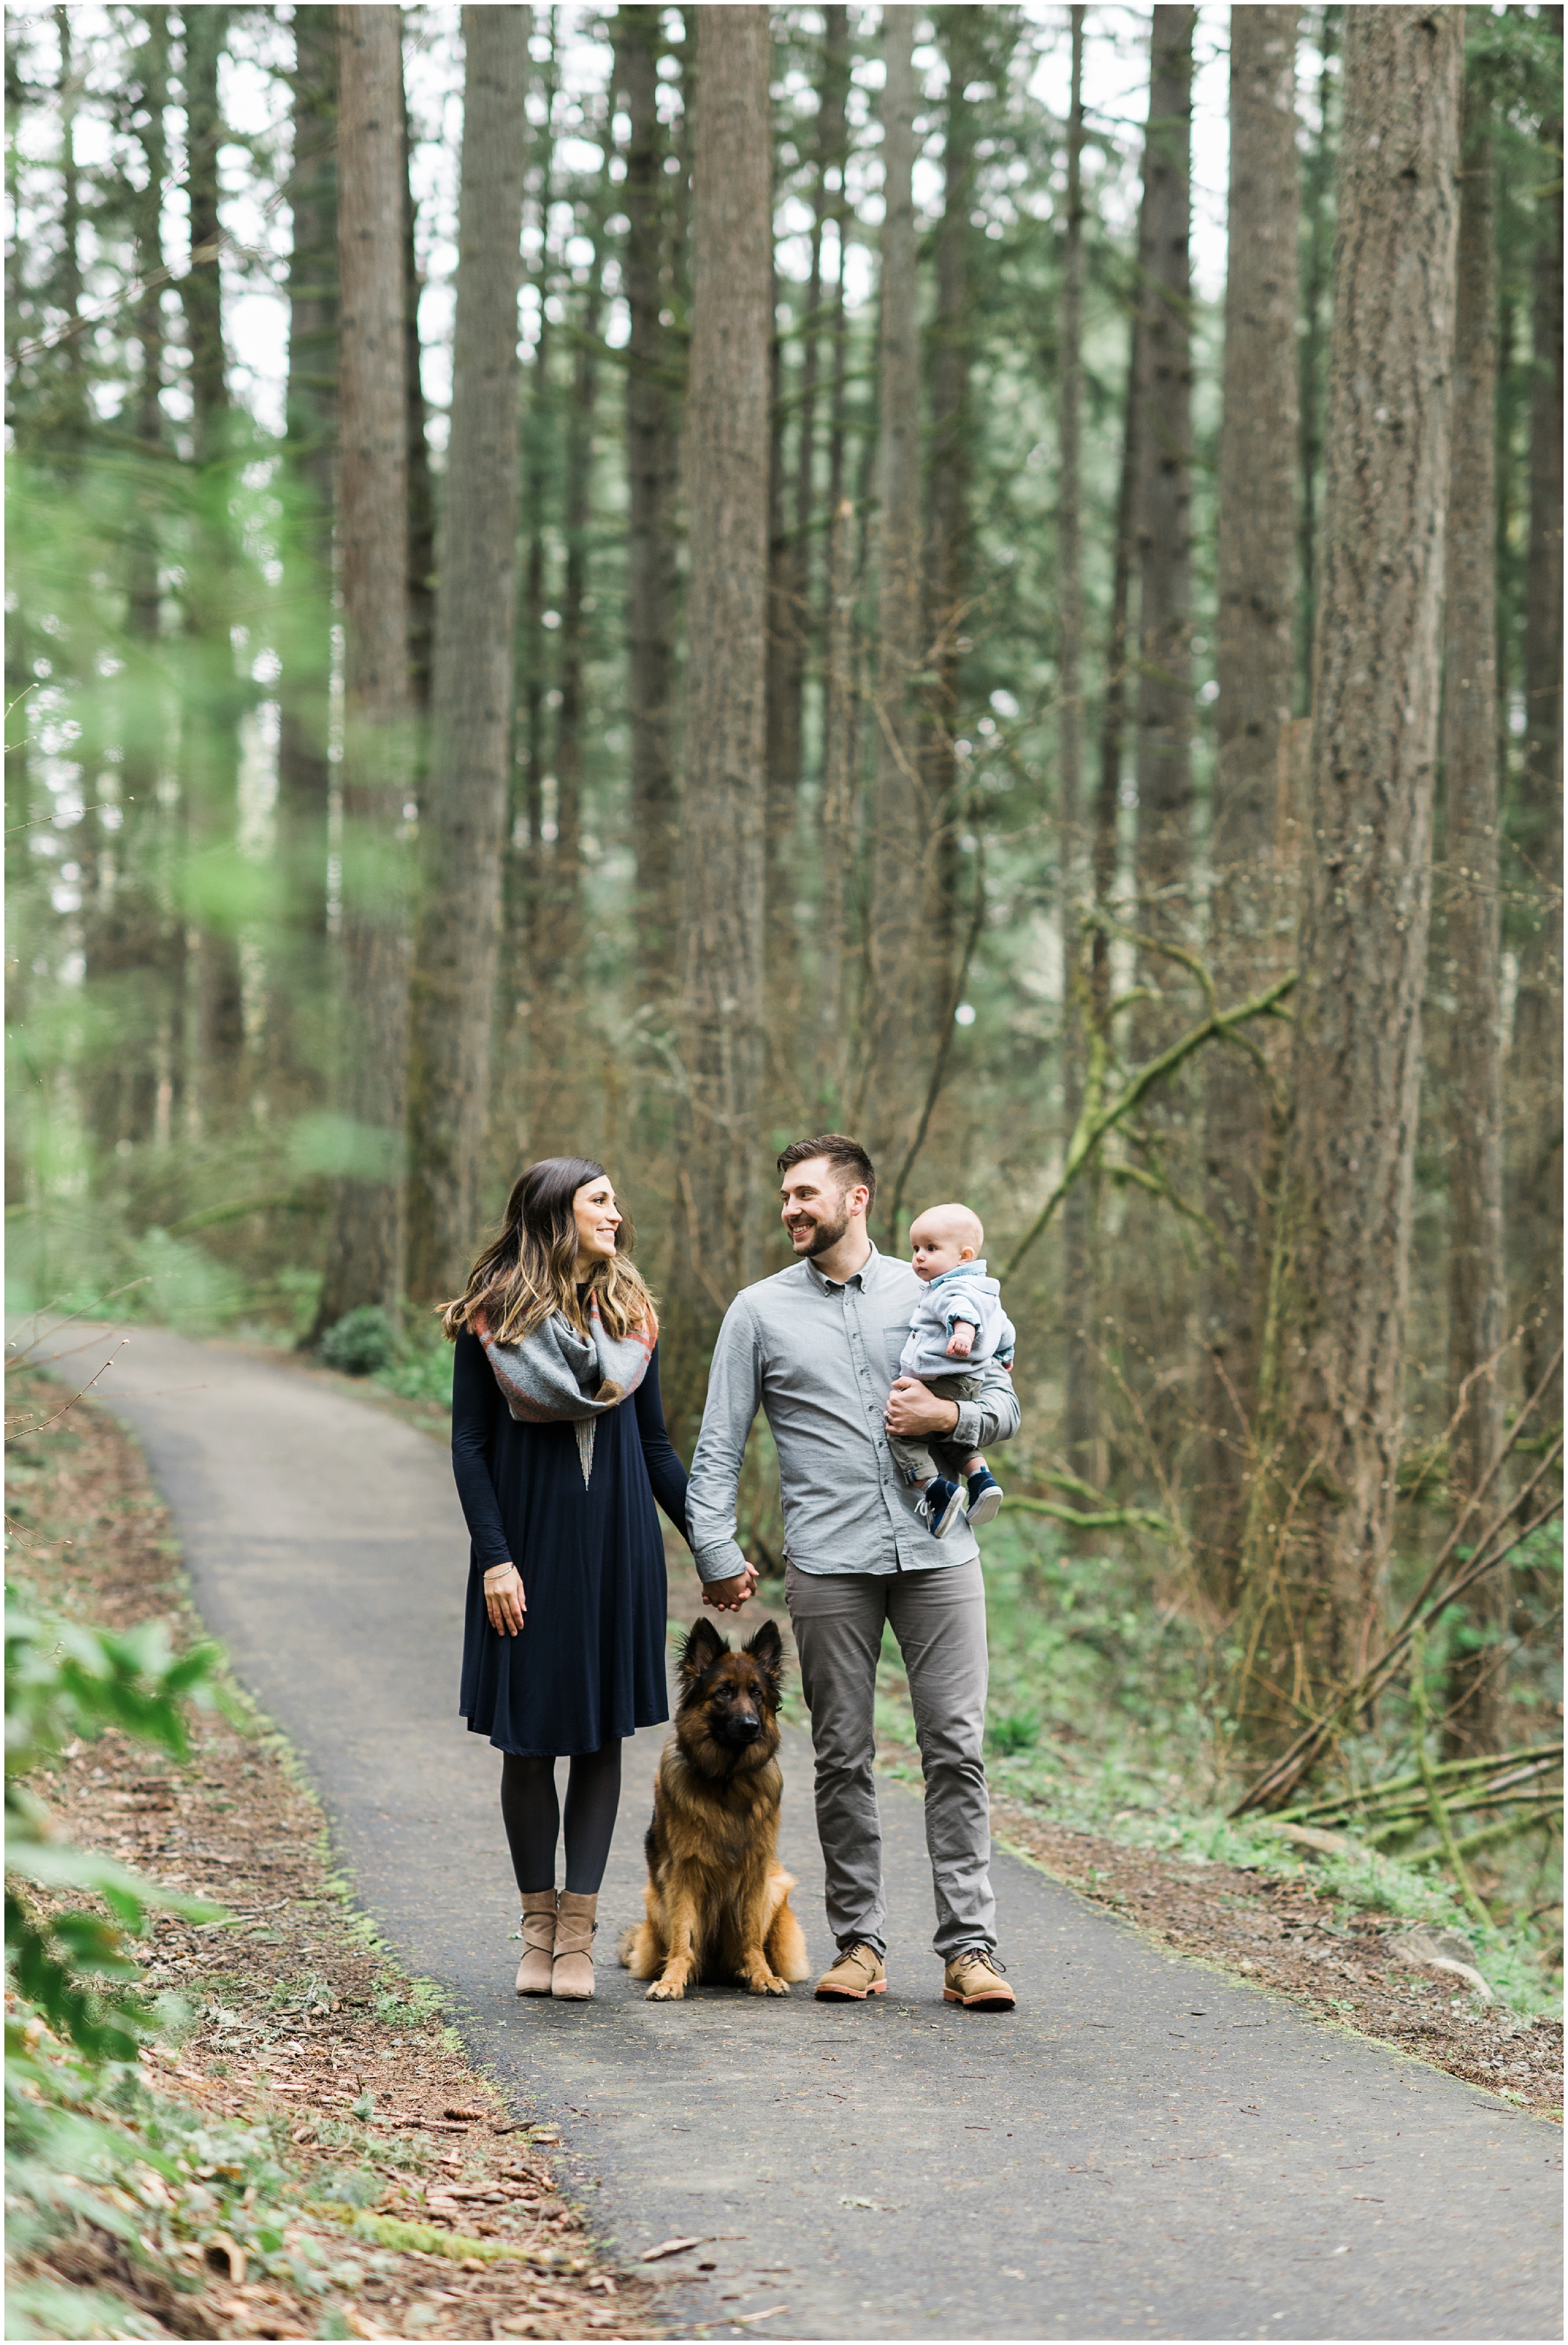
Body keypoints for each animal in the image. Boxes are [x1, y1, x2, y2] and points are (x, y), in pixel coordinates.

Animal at [614, 1632, 806, 1997]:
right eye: (724, 1692)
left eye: (756, 1693)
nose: (750, 1726)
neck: (727, 1780)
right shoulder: (683, 1872)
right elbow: (683, 1936)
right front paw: (672, 1980)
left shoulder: (756, 1870)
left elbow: (750, 1935)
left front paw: (762, 1975)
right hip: (657, 1902)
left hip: (777, 1890)